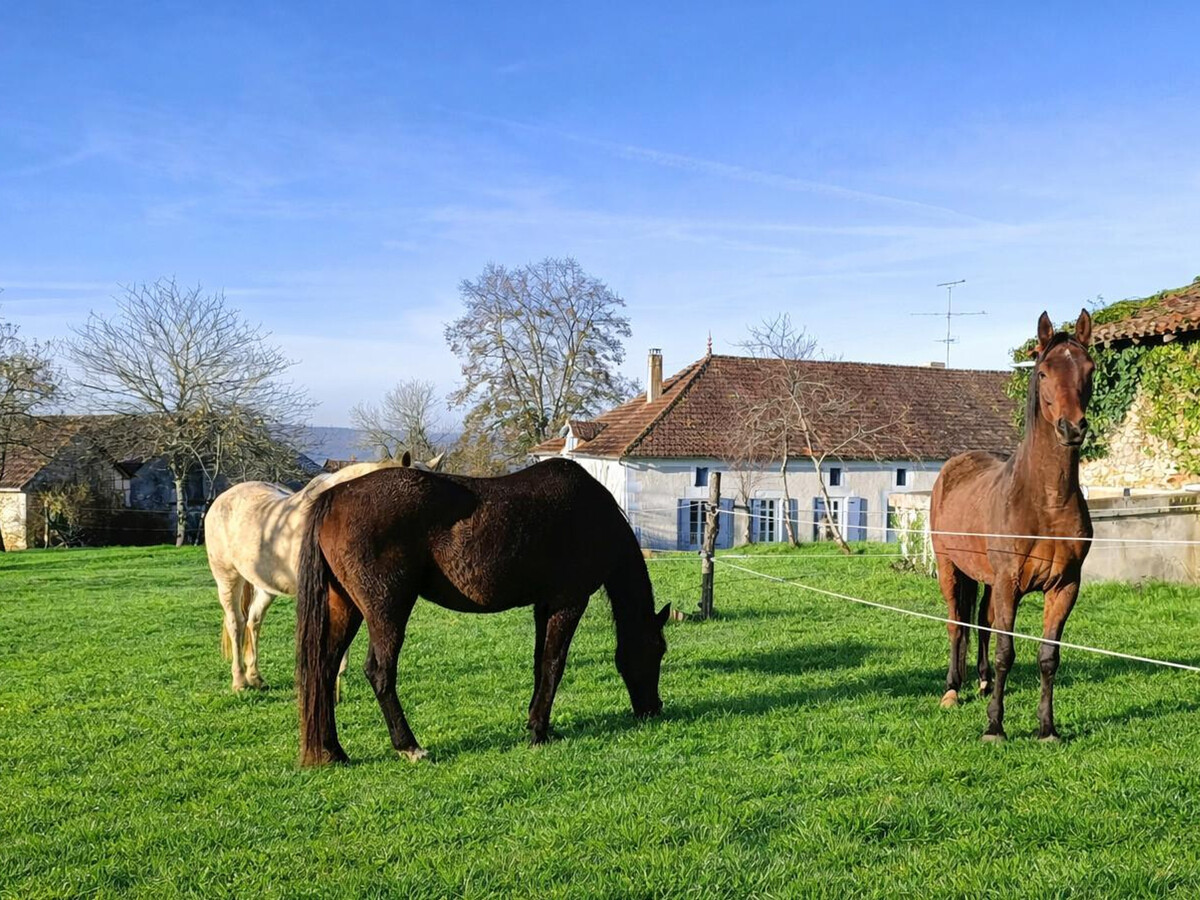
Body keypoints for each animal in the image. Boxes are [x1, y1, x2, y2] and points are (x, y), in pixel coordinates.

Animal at [204, 451, 442, 693]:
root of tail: (222, 499)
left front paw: (340, 675)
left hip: (266, 586)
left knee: (254, 620)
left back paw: (255, 676)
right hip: (227, 578)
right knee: (236, 623)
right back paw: (239, 681)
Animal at [294, 457, 670, 767]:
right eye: (658, 650)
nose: (653, 709)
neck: (592, 515)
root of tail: (334, 497)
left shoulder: (543, 606)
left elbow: (539, 663)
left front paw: (534, 723)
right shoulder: (569, 602)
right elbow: (554, 664)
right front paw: (539, 732)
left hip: (345, 606)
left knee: (324, 669)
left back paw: (333, 751)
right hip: (387, 610)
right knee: (379, 672)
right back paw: (409, 746)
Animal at [931, 309, 1094, 742]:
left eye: (1089, 368)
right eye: (1043, 372)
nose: (1072, 428)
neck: (1046, 501)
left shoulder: (1064, 586)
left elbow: (1048, 656)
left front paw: (1047, 729)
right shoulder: (1010, 583)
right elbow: (1008, 652)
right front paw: (994, 727)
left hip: (986, 579)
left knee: (982, 624)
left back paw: (983, 681)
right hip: (949, 568)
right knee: (956, 624)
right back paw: (952, 689)